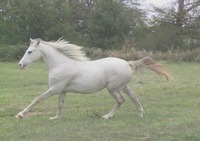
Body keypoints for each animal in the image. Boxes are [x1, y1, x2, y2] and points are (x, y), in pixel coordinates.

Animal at [15, 38, 173, 119]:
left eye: (30, 51)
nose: (20, 65)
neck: (60, 64)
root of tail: (127, 63)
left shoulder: (54, 89)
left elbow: (37, 99)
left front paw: (20, 114)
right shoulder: (62, 91)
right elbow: (60, 104)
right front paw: (56, 118)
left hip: (113, 89)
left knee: (121, 100)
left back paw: (107, 116)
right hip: (123, 86)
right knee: (133, 96)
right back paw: (141, 113)